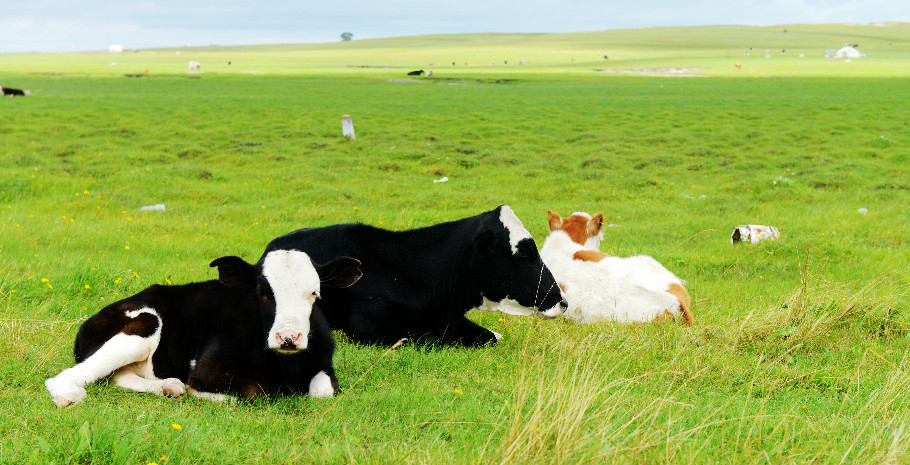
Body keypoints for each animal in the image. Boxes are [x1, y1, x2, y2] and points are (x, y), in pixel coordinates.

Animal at [43, 250, 364, 406]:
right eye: (262, 290)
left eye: (314, 292)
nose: (288, 337)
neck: (286, 368)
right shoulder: (208, 366)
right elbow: (257, 392)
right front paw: (200, 392)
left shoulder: (324, 363)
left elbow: (323, 392)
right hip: (145, 322)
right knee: (68, 376)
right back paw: (68, 397)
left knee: (118, 377)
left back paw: (168, 386)